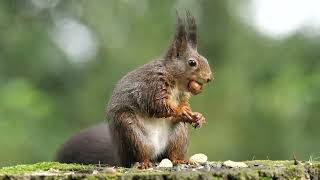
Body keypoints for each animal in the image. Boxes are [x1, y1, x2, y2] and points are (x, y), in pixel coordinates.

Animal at [55, 11, 212, 169]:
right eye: (192, 62)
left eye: (205, 59)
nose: (209, 78)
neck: (176, 82)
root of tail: (121, 157)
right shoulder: (151, 86)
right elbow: (157, 105)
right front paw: (182, 111)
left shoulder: (182, 95)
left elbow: (182, 104)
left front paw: (197, 116)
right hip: (130, 131)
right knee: (139, 155)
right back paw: (144, 162)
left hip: (178, 136)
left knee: (172, 152)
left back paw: (179, 159)